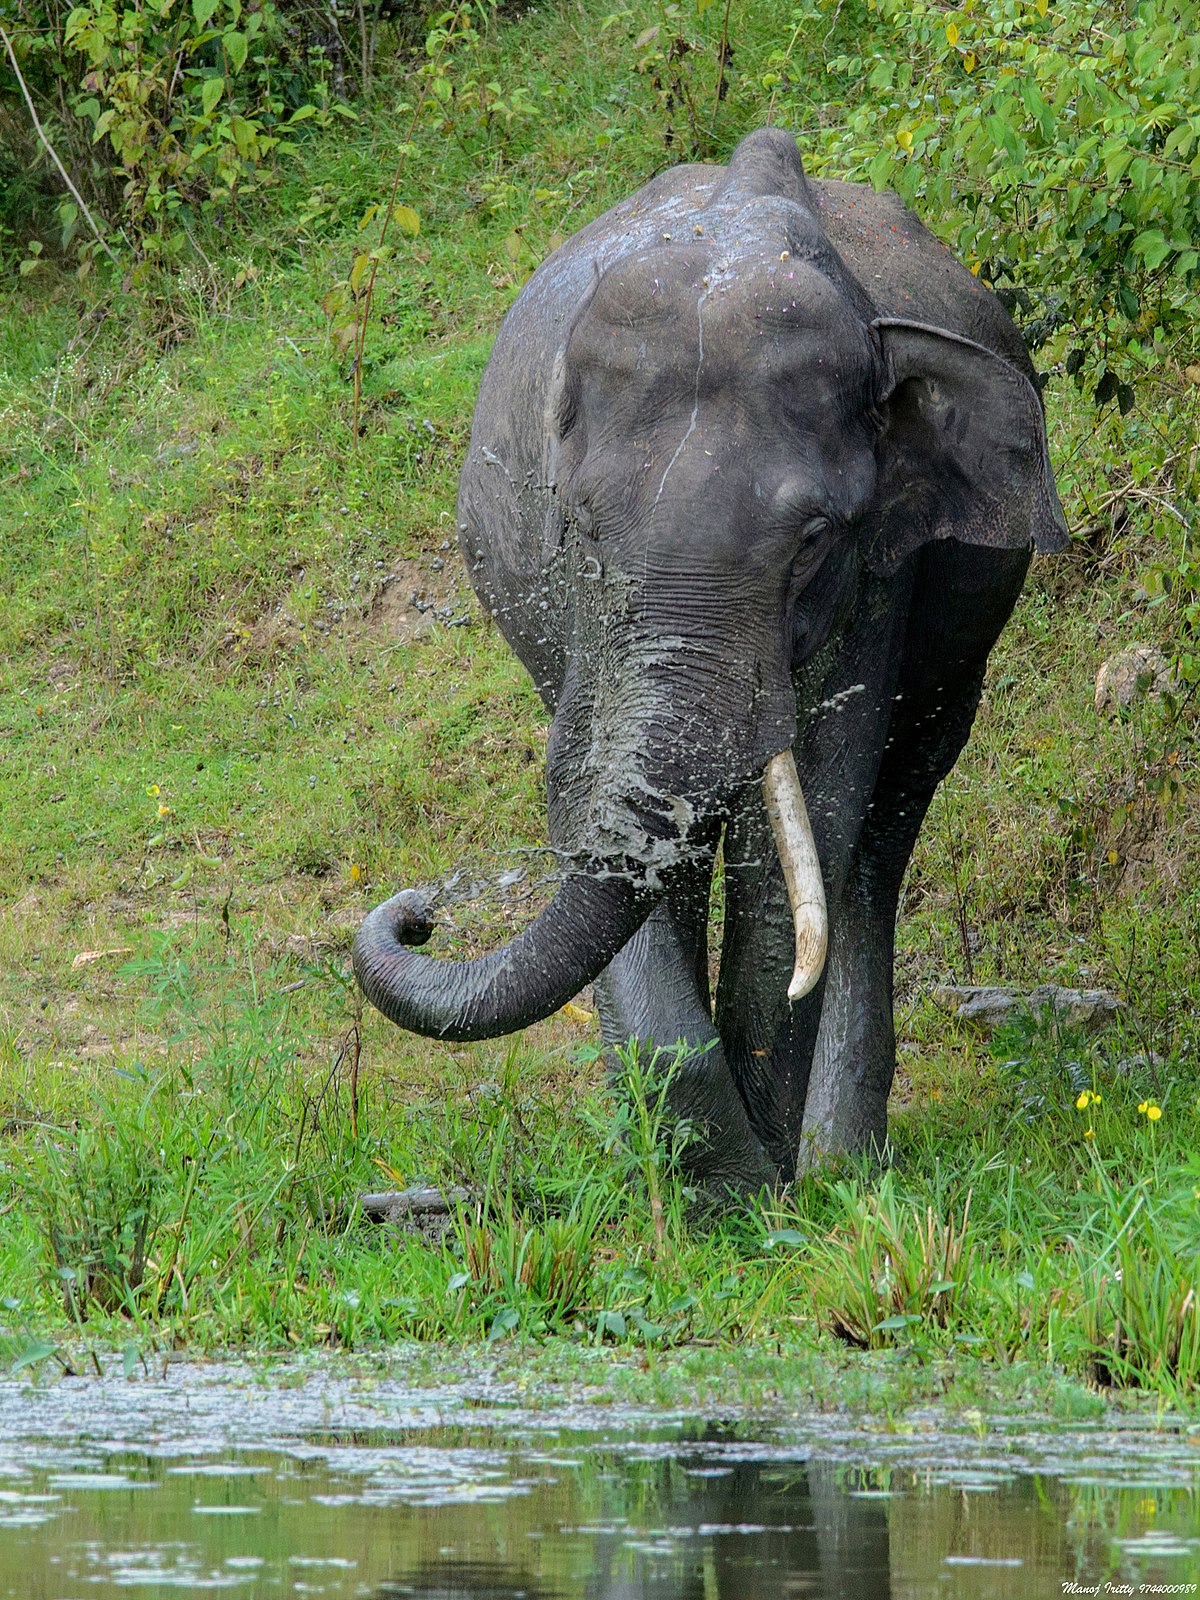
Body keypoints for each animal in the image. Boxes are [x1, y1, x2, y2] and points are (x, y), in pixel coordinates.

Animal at [350, 128, 1068, 1190]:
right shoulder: (579, 613)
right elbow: (598, 801)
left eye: (813, 540)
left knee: (885, 830)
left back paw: (842, 1165)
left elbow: (806, 827)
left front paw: (763, 1186)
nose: (419, 912)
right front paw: (719, 1190)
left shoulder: (879, 576)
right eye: (581, 528)